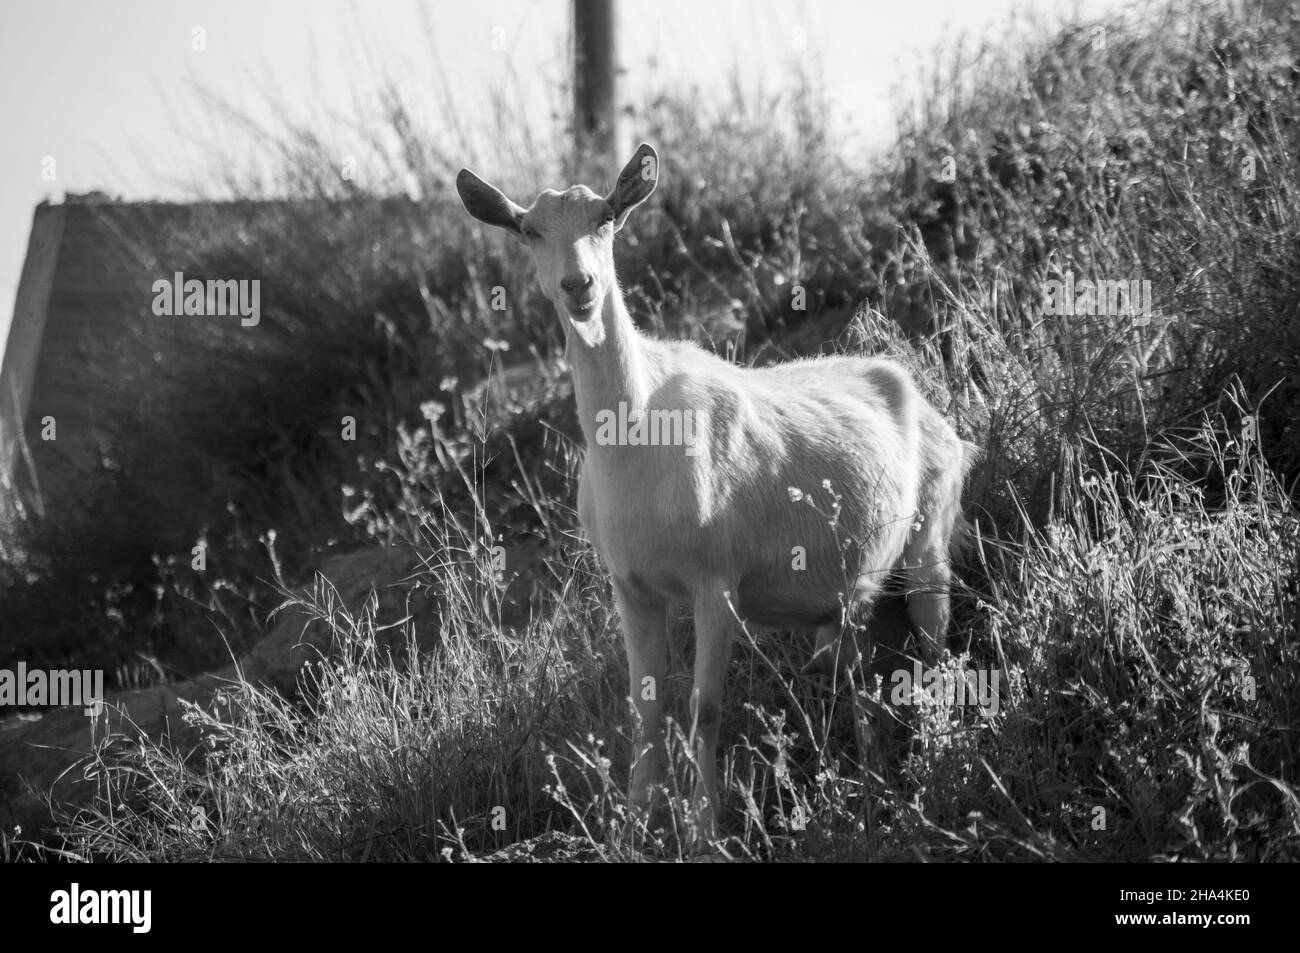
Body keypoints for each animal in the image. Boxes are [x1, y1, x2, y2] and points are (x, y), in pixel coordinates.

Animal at [452, 144, 972, 837]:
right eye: (529, 230)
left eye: (607, 218)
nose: (579, 286)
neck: (637, 431)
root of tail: (928, 404)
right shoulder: (631, 587)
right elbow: (643, 708)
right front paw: (632, 823)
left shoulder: (716, 580)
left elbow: (706, 708)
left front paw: (705, 829)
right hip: (853, 593)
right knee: (860, 670)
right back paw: (871, 785)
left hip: (929, 541)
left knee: (935, 650)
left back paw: (937, 768)